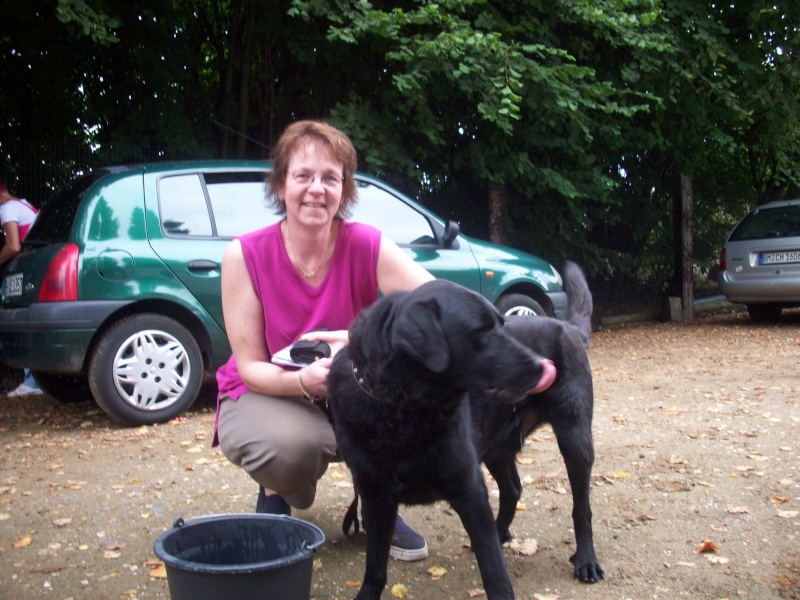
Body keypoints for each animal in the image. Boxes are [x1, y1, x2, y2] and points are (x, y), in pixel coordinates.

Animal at [324, 278, 556, 596]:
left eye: (502, 324)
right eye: (483, 331)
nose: (543, 365)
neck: (403, 409)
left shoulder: (470, 491)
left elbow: (493, 569)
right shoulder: (374, 496)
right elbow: (375, 568)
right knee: (512, 489)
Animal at [472, 262, 604, 580]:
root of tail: (568, 328)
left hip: (575, 440)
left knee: (581, 509)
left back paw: (586, 560)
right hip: (497, 447)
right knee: (512, 490)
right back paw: (499, 532)